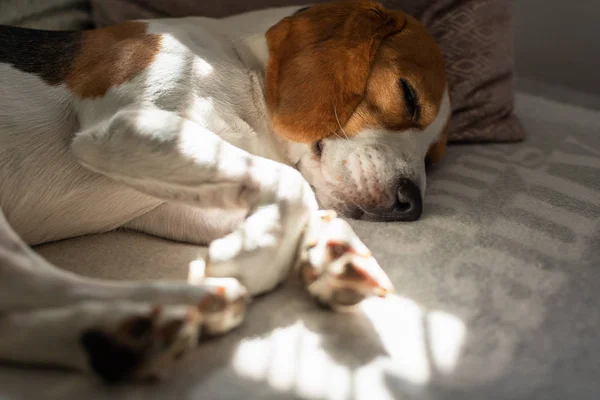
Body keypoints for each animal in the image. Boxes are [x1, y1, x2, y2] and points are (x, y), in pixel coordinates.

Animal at [0, 0, 450, 382]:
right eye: (408, 95)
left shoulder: (171, 198)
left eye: (433, 158)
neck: (239, 68)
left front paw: (333, 250)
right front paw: (254, 255)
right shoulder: (126, 127)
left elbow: (296, 200)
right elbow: (293, 184)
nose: (411, 204)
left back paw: (141, 328)